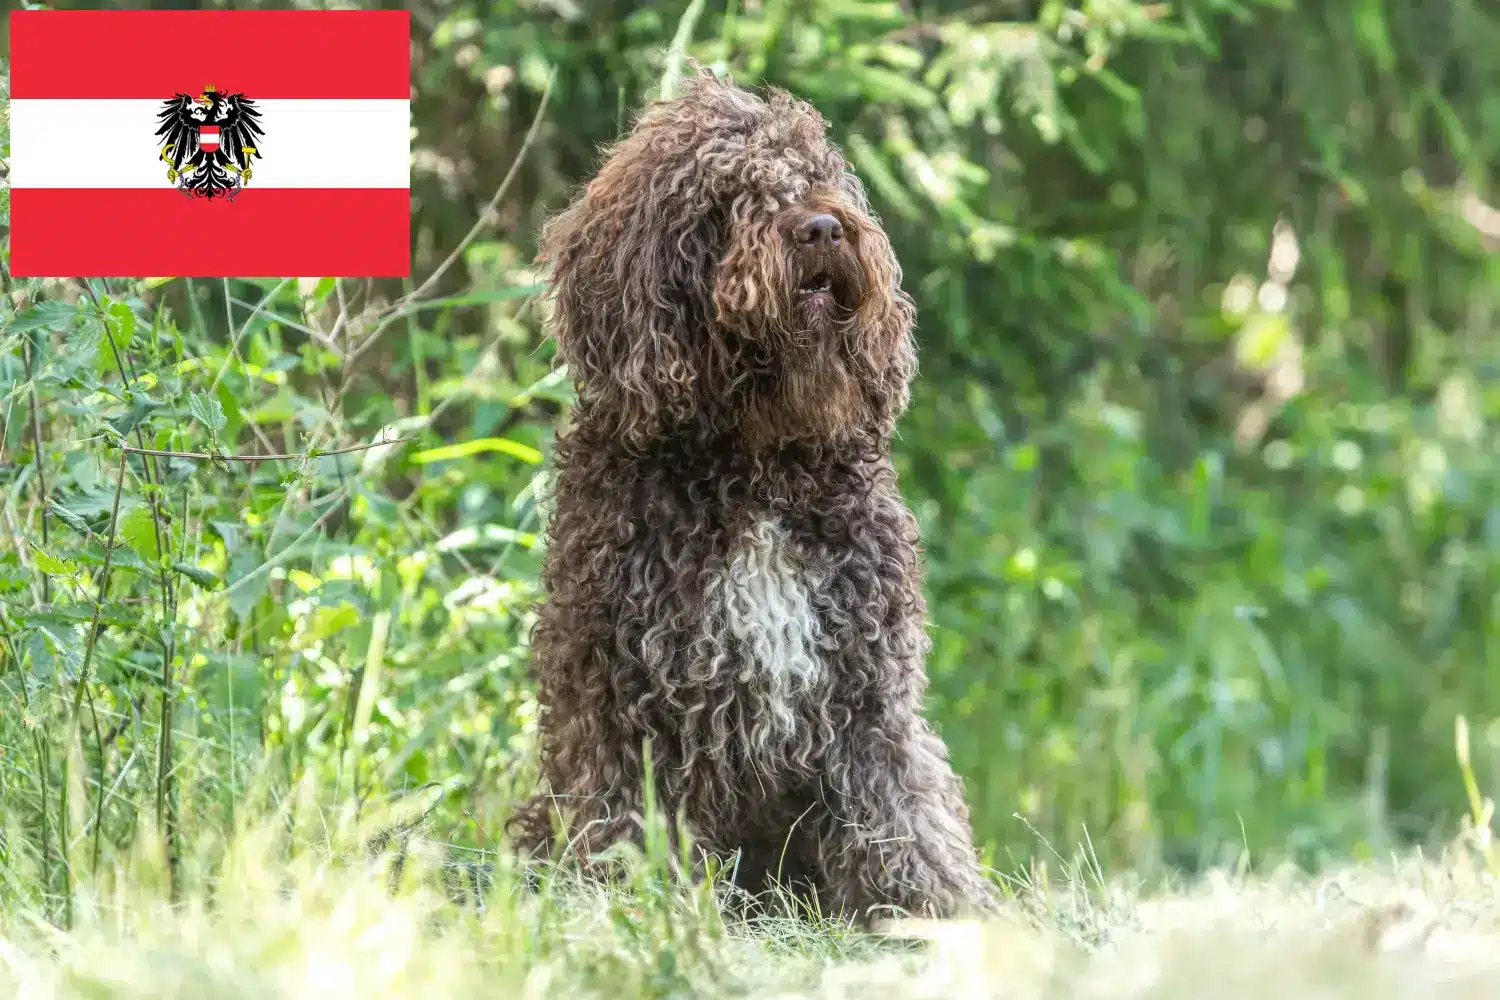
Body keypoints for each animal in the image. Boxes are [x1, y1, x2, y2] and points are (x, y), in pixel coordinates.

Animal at [510, 66, 1002, 929]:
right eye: (729, 195)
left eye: (818, 176)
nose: (824, 230)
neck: (757, 469)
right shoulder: (626, 708)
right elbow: (630, 823)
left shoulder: (868, 693)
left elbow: (903, 812)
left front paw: (934, 914)